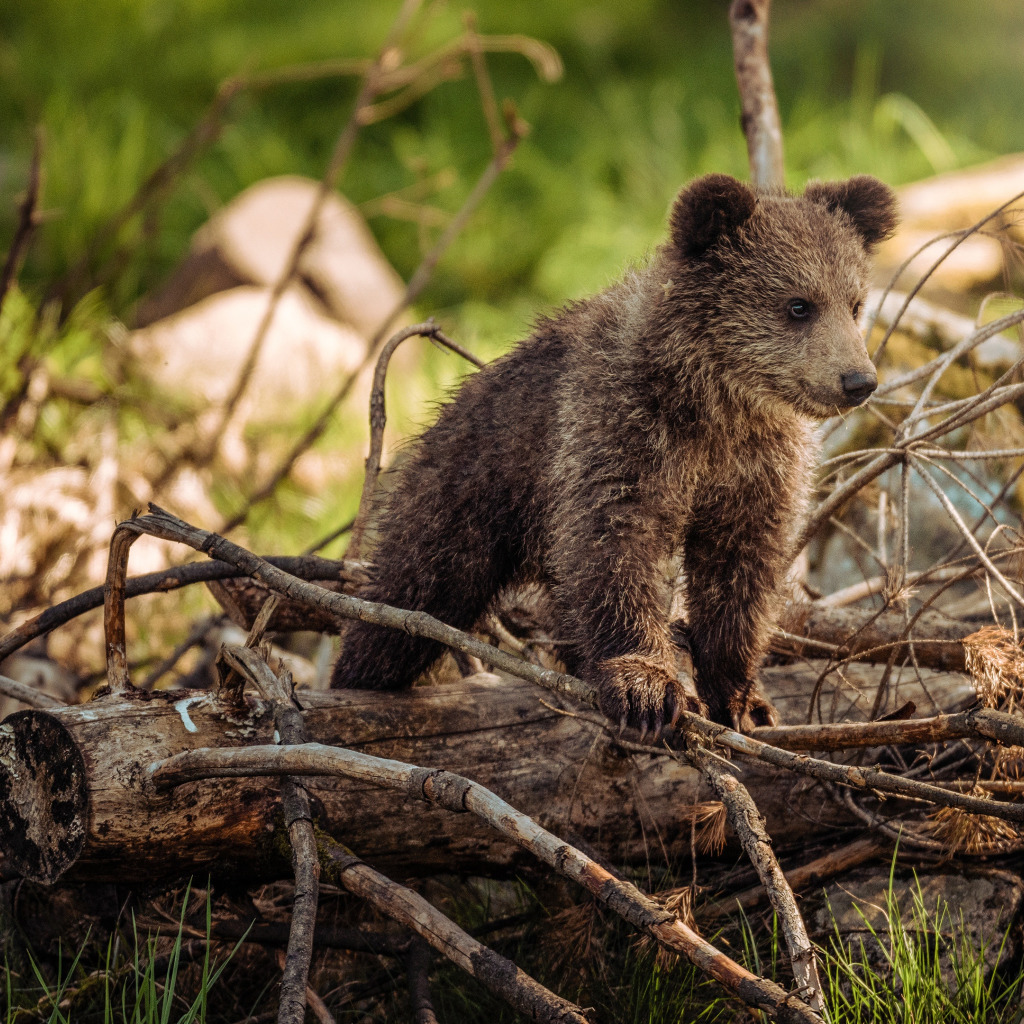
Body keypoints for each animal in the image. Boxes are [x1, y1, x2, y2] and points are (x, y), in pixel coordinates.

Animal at [333, 176, 897, 737]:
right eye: (798, 304)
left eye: (854, 303)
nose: (858, 380)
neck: (716, 404)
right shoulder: (620, 432)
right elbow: (616, 546)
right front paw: (645, 687)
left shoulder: (757, 468)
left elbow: (741, 571)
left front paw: (743, 699)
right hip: (466, 494)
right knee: (409, 598)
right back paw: (358, 677)